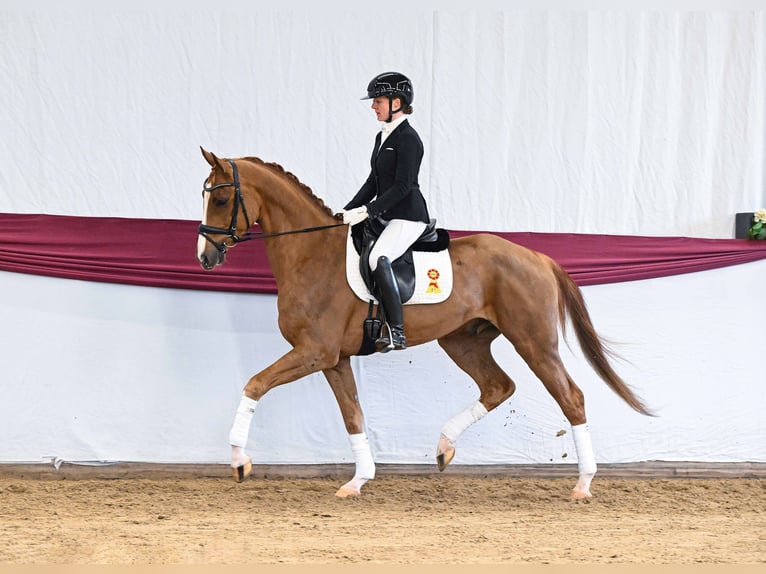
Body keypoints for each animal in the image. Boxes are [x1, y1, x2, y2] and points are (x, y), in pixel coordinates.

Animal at [195, 148, 651, 499]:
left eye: (220, 200)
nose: (205, 257)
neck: (312, 253)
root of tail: (537, 256)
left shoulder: (314, 352)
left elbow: (254, 384)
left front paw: (239, 462)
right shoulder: (333, 358)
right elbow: (353, 416)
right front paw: (358, 482)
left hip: (534, 342)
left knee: (570, 397)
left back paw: (583, 485)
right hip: (463, 341)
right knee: (498, 386)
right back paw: (444, 447)